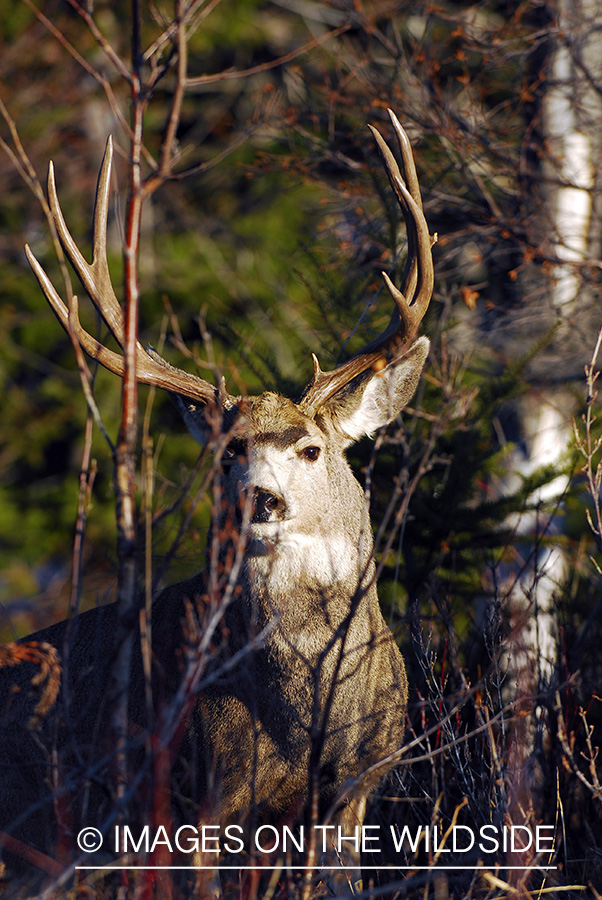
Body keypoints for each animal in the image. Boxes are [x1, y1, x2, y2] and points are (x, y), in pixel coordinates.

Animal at [0, 110, 434, 897]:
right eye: (227, 451)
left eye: (309, 448)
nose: (258, 498)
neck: (307, 711)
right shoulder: (201, 792)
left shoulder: (358, 785)